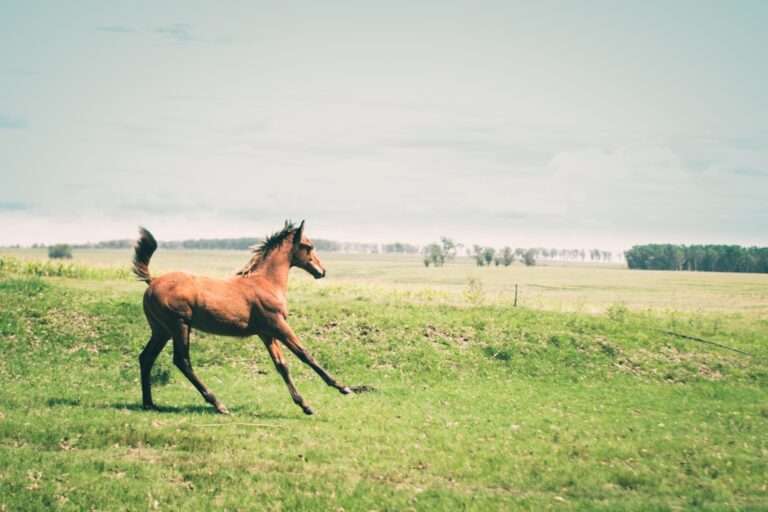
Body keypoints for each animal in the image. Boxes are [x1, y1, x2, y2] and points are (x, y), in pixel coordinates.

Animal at [134, 220, 352, 416]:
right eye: (309, 246)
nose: (322, 271)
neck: (265, 282)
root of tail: (152, 281)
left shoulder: (266, 333)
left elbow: (281, 365)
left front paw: (304, 405)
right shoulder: (278, 324)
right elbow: (304, 354)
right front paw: (343, 387)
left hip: (161, 330)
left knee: (146, 357)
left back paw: (149, 403)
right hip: (179, 325)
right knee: (182, 361)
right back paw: (219, 405)